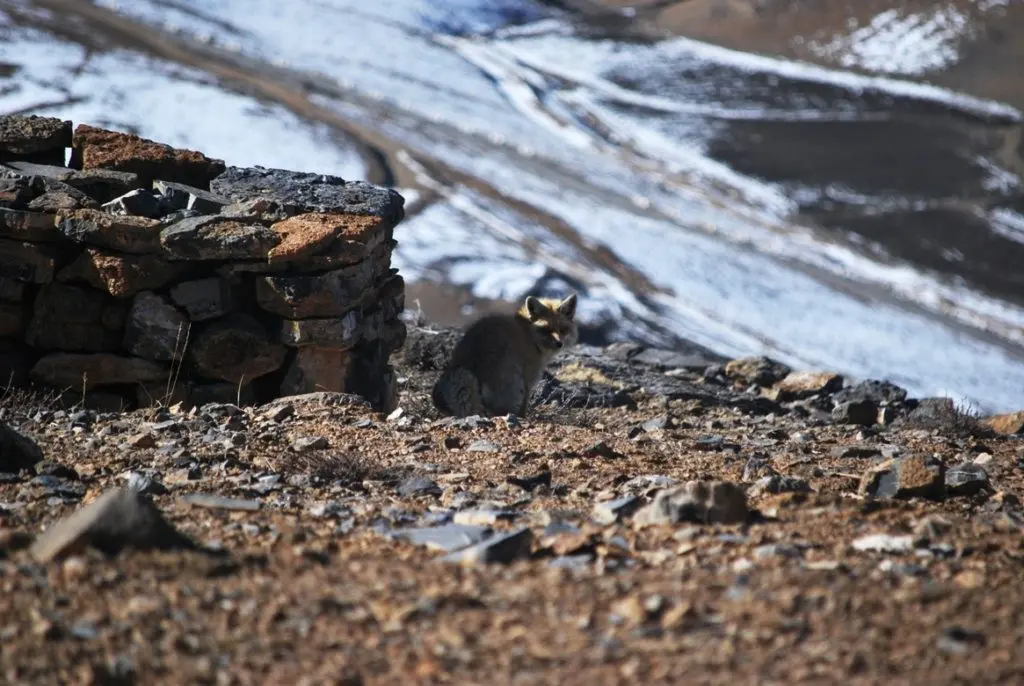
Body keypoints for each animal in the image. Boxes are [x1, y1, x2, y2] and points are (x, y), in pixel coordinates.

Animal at [431, 293, 579, 418]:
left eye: (563, 330)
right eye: (546, 329)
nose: (559, 344)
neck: (528, 334)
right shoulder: (528, 379)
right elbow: (524, 406)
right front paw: (523, 417)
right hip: (514, 382)